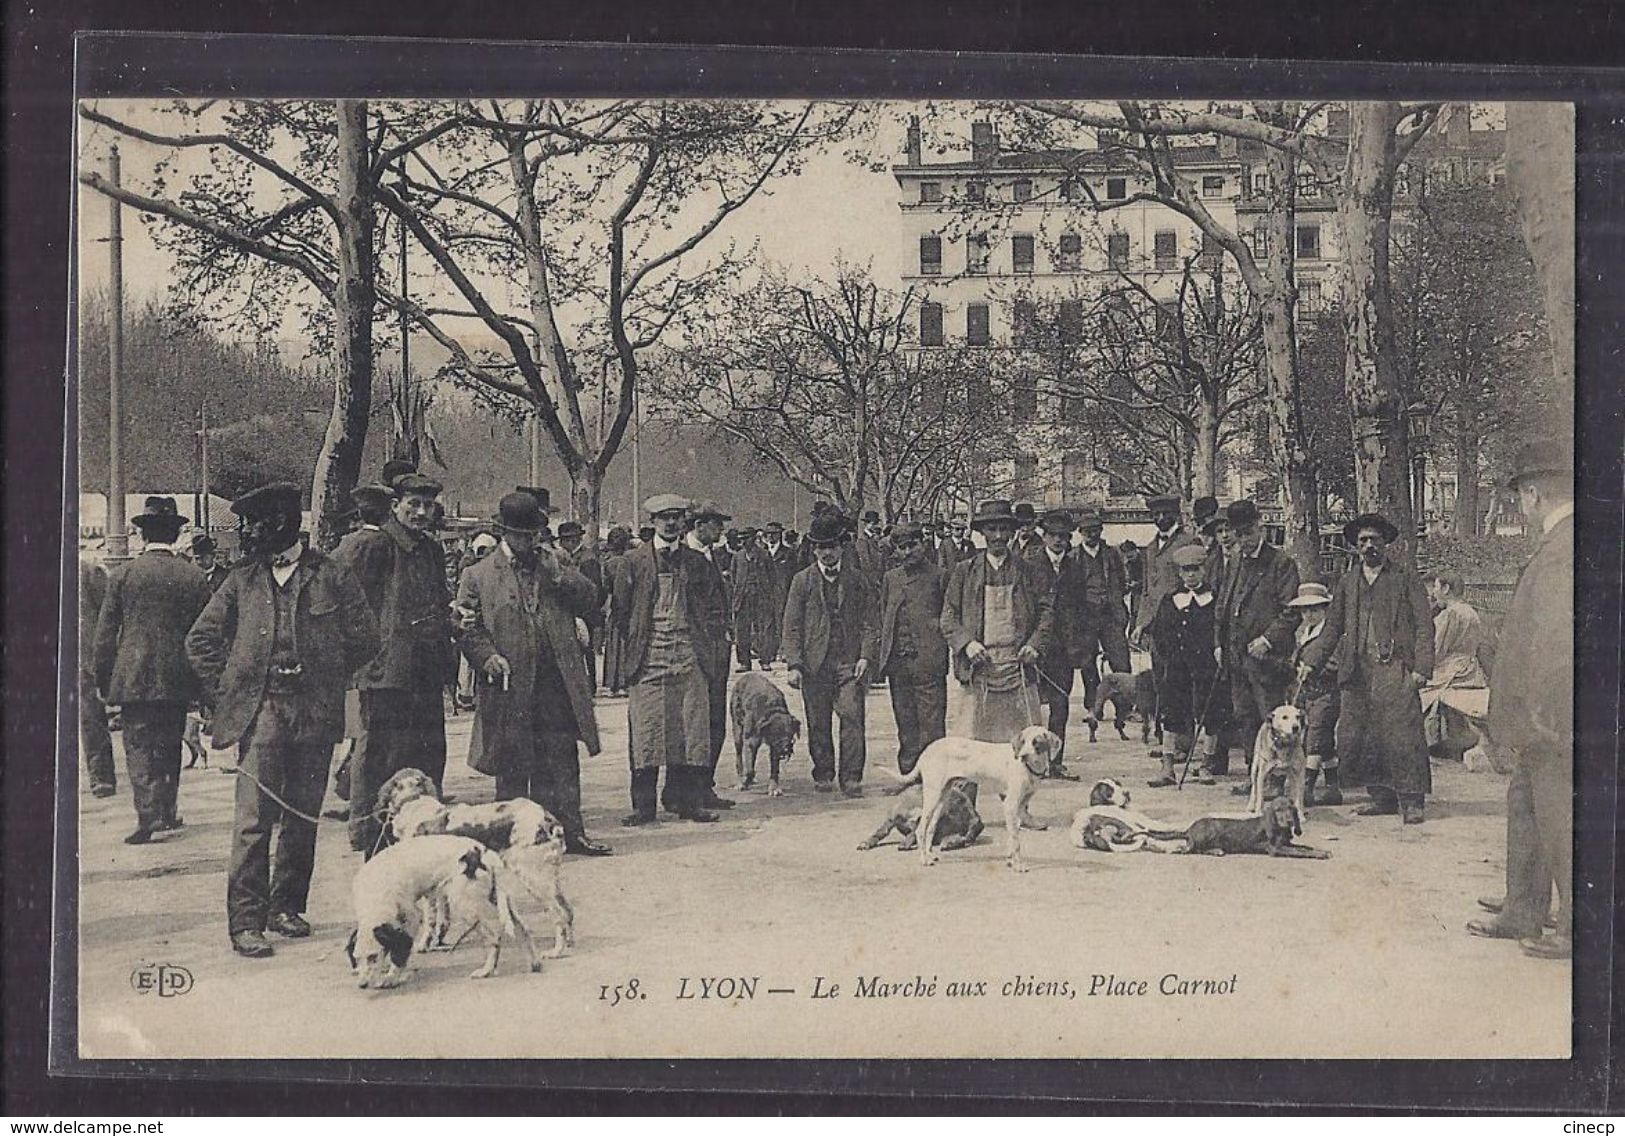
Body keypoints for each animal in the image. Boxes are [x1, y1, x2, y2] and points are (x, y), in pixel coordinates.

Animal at [381, 763, 578, 962]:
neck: (413, 801)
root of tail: (548, 819)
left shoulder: (428, 889)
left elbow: (430, 920)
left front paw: (423, 946)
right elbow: (444, 919)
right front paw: (438, 941)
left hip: (534, 879)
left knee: (560, 914)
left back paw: (555, 951)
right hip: (547, 880)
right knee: (568, 911)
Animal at [890, 724, 1066, 877]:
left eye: (1037, 742)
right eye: (1022, 742)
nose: (1022, 756)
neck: (1028, 767)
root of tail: (927, 750)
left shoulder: (1020, 808)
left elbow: (1013, 837)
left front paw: (1010, 860)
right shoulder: (1010, 805)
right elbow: (1016, 842)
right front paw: (1017, 865)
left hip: (941, 799)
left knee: (930, 829)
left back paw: (930, 855)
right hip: (932, 797)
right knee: (920, 830)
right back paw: (924, 860)